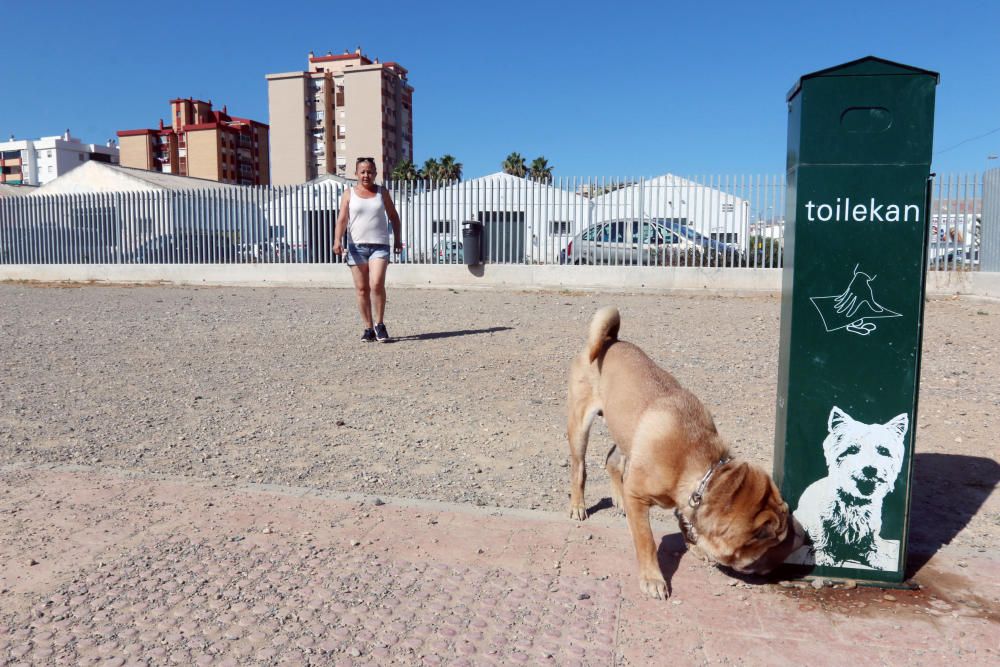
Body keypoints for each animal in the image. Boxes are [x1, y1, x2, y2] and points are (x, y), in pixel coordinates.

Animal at [572, 308, 804, 600]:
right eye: (774, 542)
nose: (802, 536)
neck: (701, 471)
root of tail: (610, 340)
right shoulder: (638, 497)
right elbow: (646, 541)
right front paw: (653, 578)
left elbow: (684, 520)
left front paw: (693, 546)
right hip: (579, 429)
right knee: (579, 469)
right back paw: (578, 505)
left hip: (624, 436)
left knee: (612, 460)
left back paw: (617, 497)